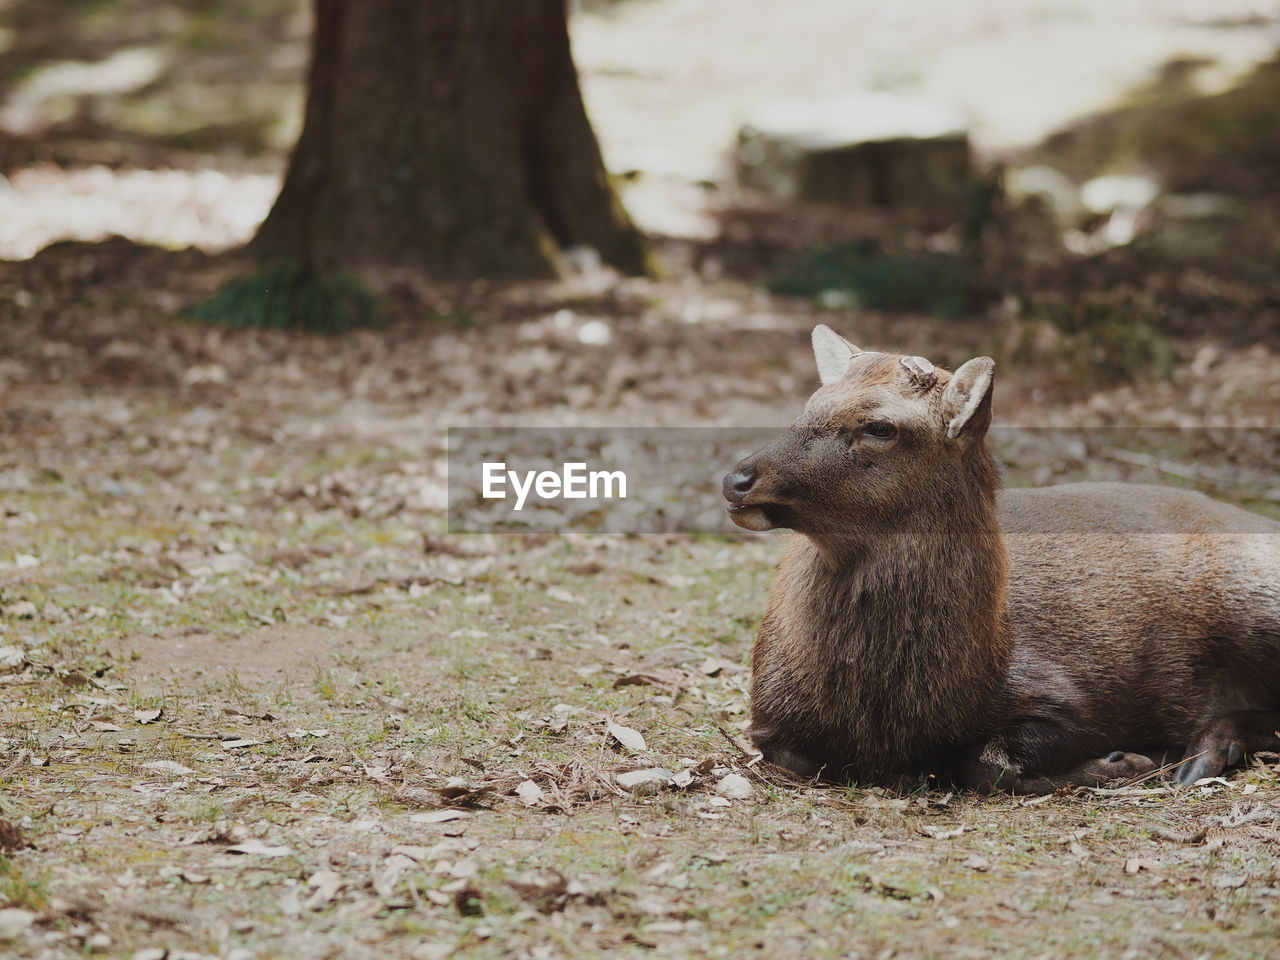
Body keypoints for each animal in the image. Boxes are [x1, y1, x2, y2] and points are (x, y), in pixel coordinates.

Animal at [727, 327, 1280, 793]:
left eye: (880, 427)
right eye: (808, 404)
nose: (738, 479)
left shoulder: (1068, 694)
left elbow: (989, 765)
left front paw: (1123, 761)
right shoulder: (769, 719)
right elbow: (797, 757)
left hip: (1255, 597)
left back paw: (1203, 753)